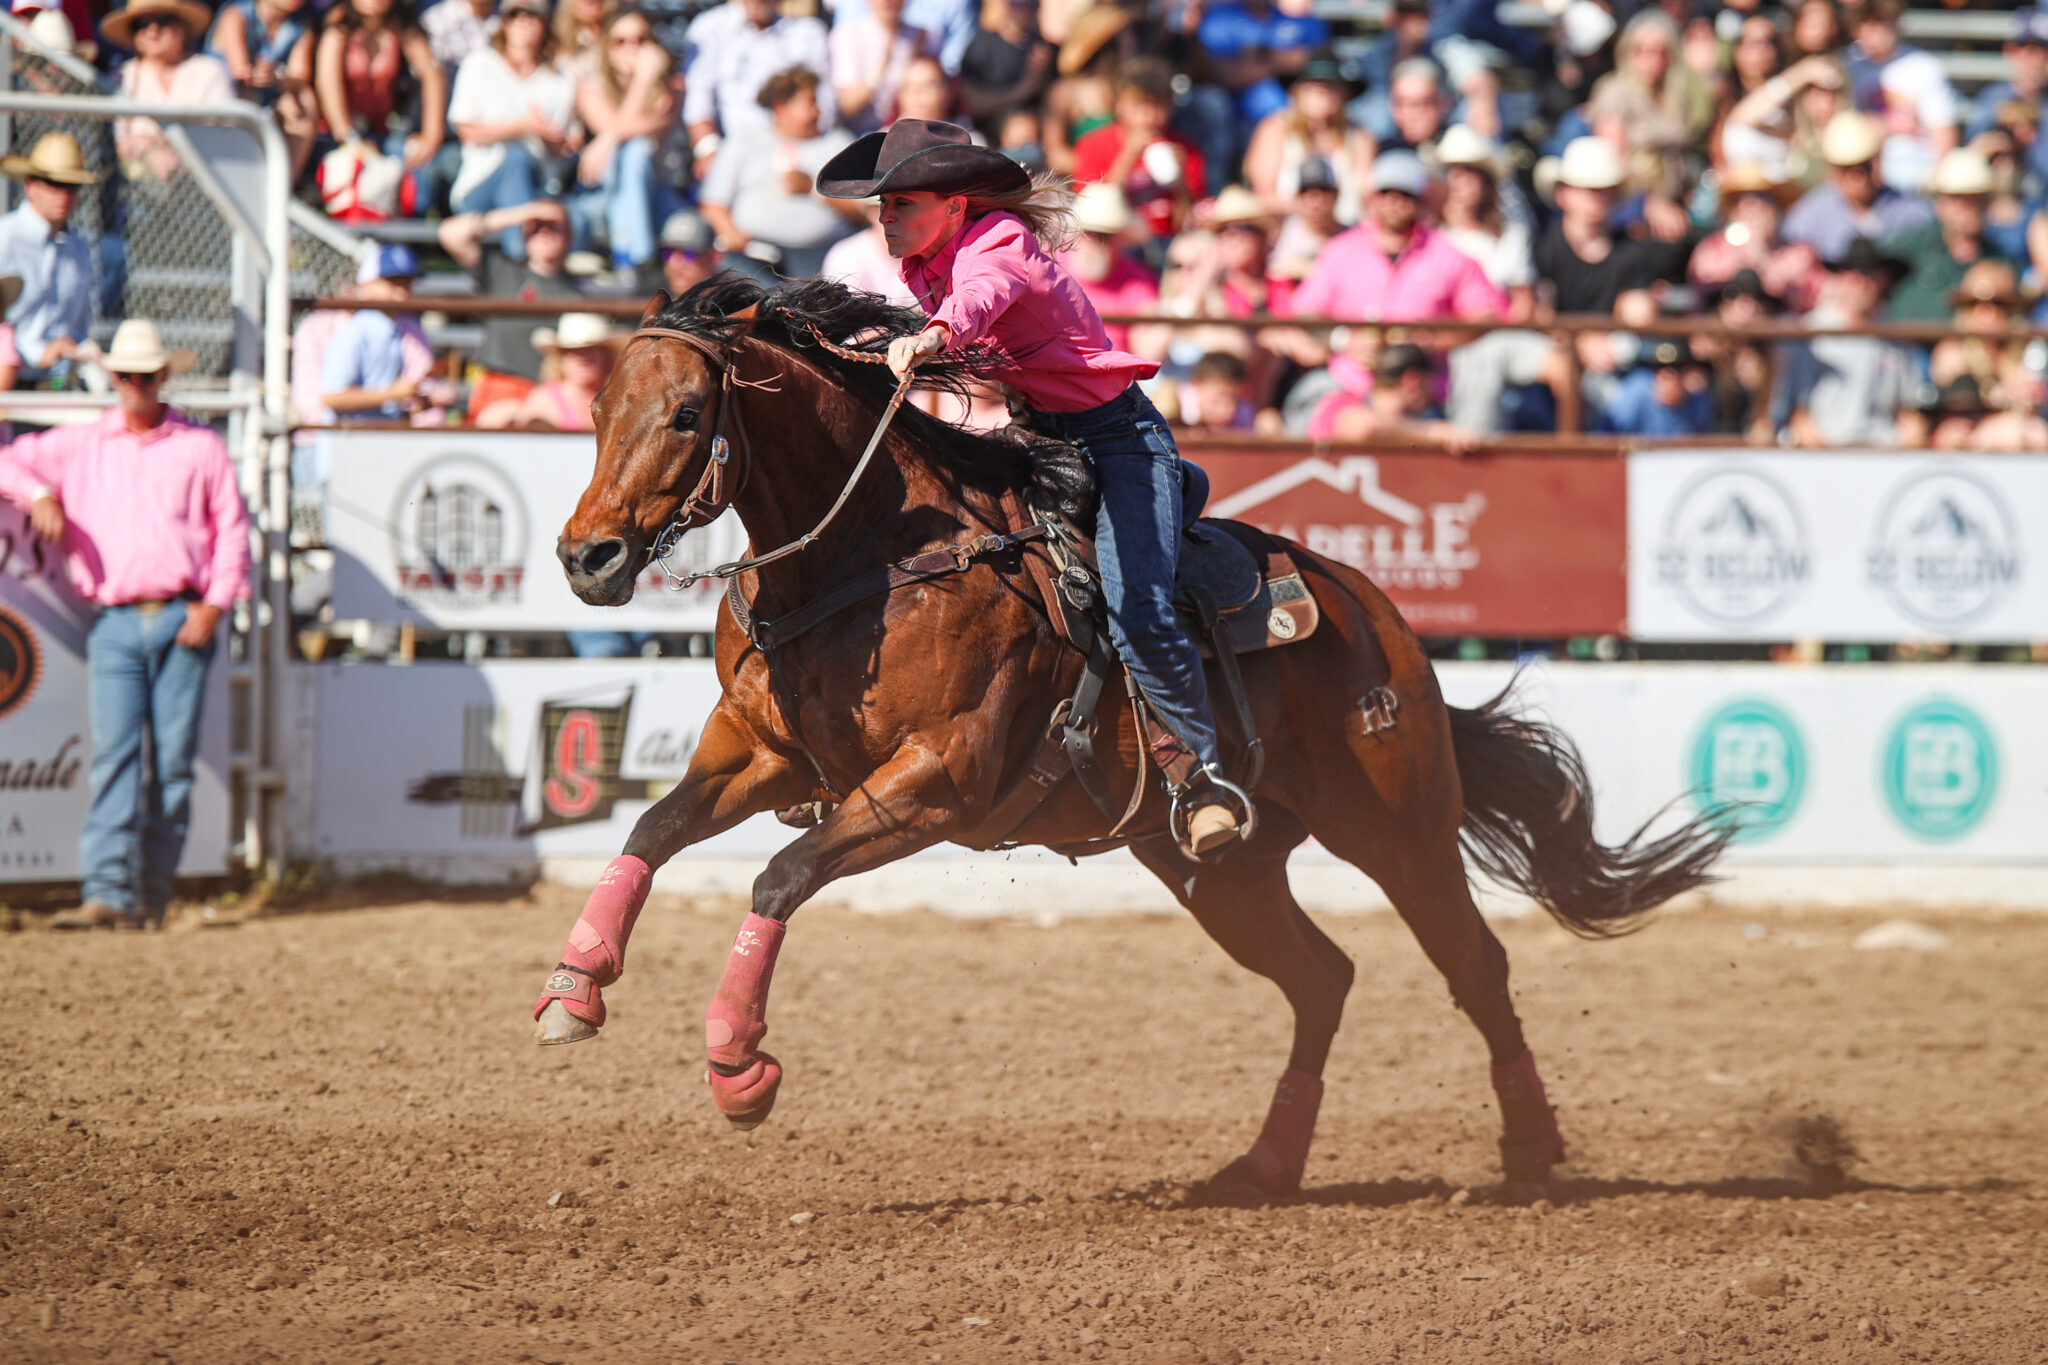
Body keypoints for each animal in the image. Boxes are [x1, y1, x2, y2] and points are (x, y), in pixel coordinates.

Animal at [532, 278, 1728, 1195]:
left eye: (687, 414)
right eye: (596, 408)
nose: (587, 557)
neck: (870, 558)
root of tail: (1376, 614)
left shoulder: (936, 783)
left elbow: (777, 876)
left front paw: (738, 1066)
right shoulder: (759, 752)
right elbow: (648, 831)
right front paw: (573, 991)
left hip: (1396, 826)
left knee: (1473, 965)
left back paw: (1529, 1150)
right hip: (1219, 868)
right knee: (1321, 978)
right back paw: (1262, 1166)